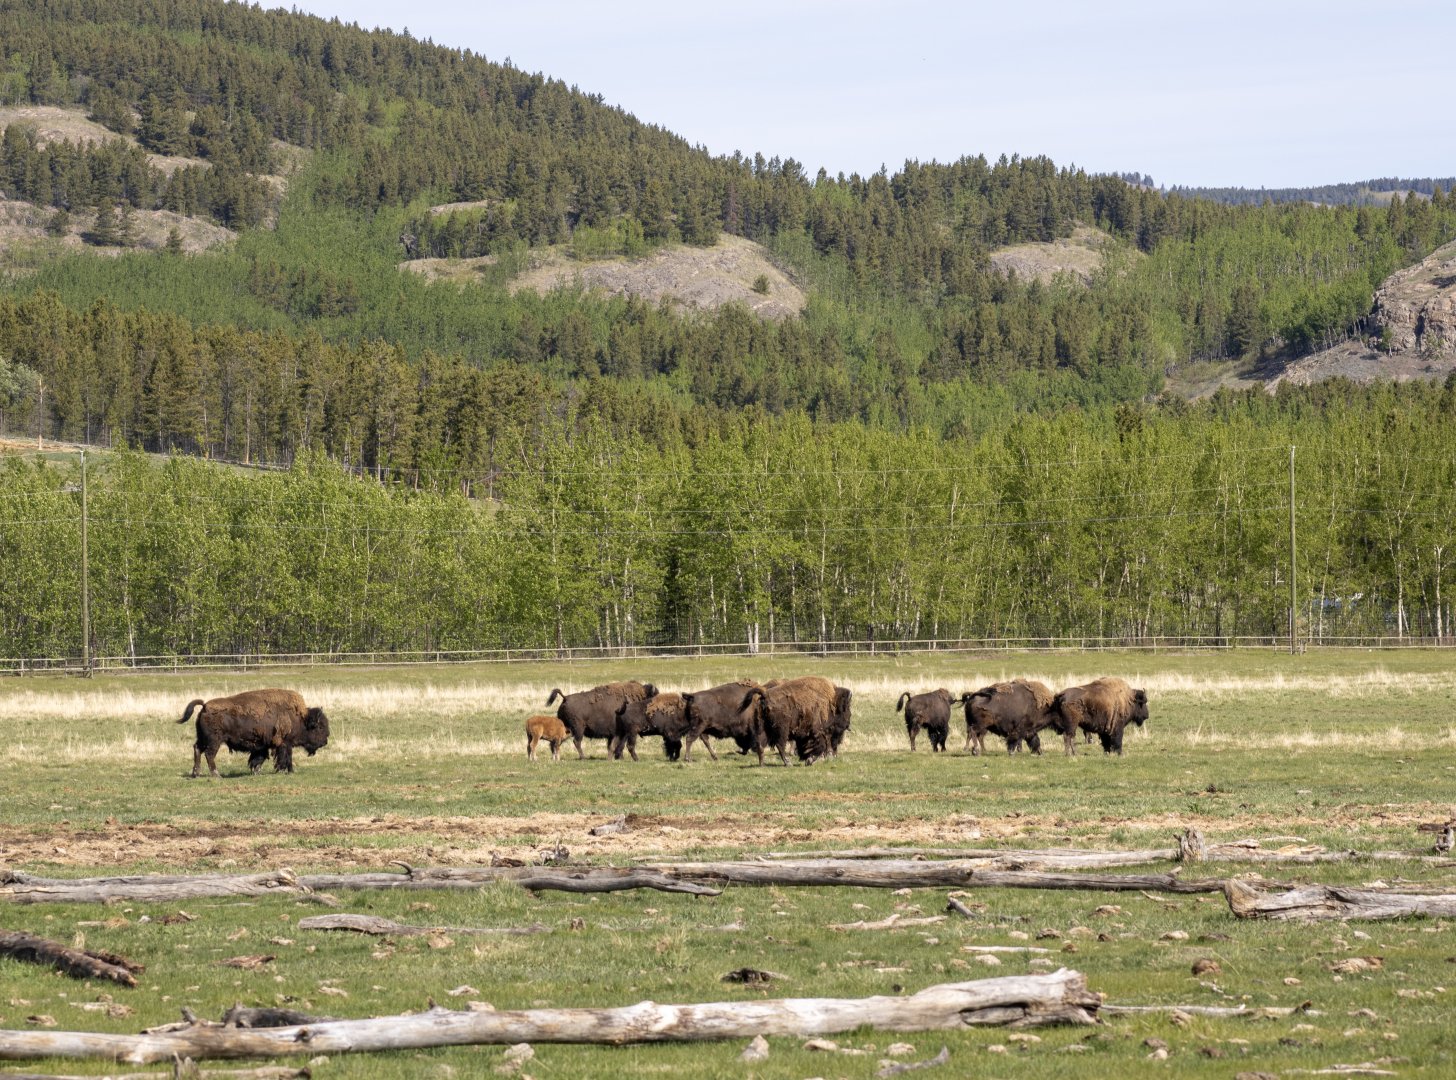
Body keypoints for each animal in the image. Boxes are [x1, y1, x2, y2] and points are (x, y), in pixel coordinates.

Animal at [177, 689, 329, 778]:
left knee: (197, 749)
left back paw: (196, 773)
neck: (300, 718)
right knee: (209, 755)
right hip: (215, 741)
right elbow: (286, 758)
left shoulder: (263, 746)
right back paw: (216, 775)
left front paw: (257, 771)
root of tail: (205, 707)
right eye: (320, 727)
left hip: (203, 739)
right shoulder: (285, 744)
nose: (325, 741)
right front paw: (288, 771)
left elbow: (258, 758)